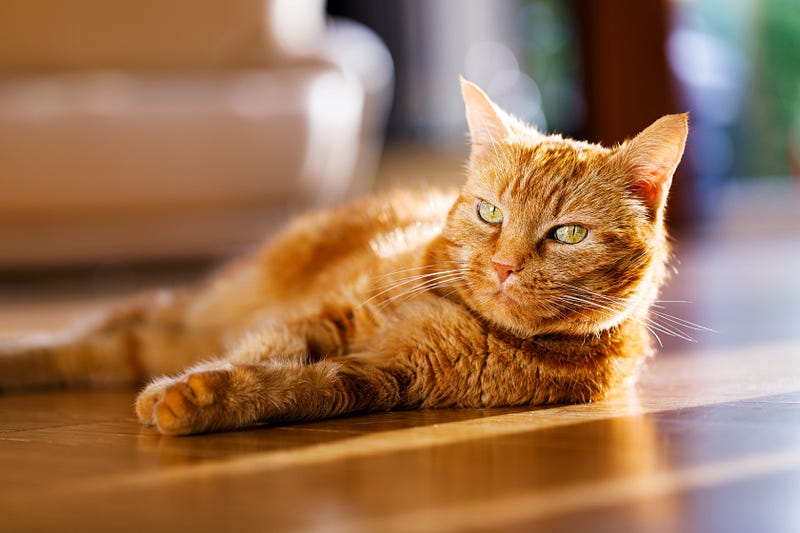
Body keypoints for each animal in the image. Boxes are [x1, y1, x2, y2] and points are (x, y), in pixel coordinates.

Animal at [0, 80, 688, 436]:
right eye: (490, 213)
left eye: (567, 235)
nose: (503, 267)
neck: (470, 321)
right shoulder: (331, 316)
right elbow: (271, 348)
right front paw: (196, 389)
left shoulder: (386, 379)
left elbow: (300, 387)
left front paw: (202, 400)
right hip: (195, 310)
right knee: (90, 334)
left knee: (104, 348)